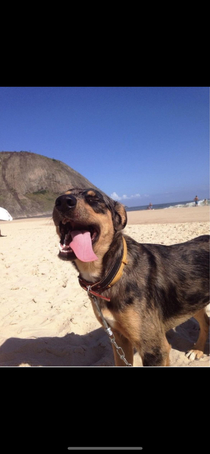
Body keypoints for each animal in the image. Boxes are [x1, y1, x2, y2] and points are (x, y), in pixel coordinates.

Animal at [53, 187, 210, 366]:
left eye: (95, 199)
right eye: (61, 196)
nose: (63, 202)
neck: (114, 272)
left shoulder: (154, 350)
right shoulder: (119, 339)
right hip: (192, 301)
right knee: (205, 321)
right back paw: (198, 350)